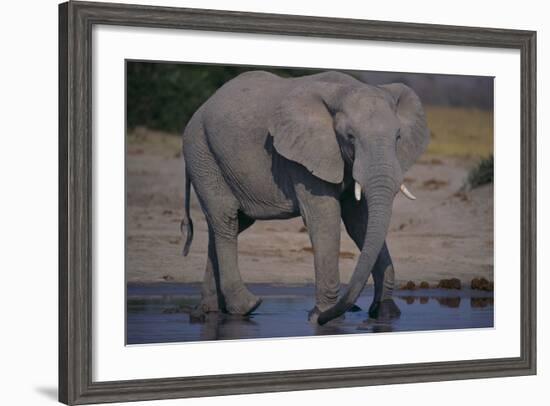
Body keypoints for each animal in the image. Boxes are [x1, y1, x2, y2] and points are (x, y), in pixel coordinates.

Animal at [181, 69, 432, 324]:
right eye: (350, 136)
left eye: (398, 137)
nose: (354, 309)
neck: (344, 90)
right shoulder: (303, 158)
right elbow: (324, 219)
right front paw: (322, 317)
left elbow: (359, 222)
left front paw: (385, 313)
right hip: (201, 152)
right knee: (226, 219)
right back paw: (245, 307)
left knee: (229, 224)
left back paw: (207, 311)